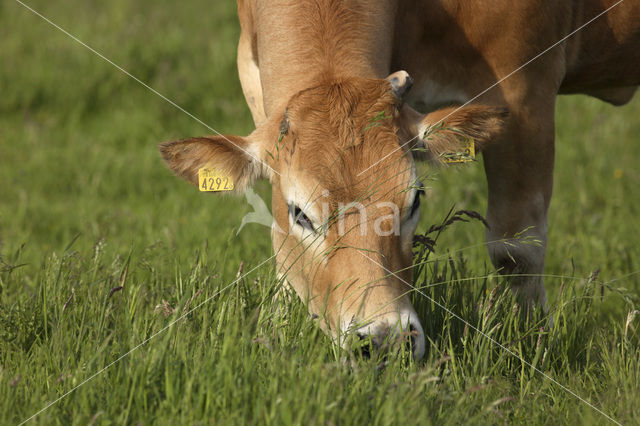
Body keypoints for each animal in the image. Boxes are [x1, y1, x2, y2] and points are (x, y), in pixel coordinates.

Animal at [158, 0, 636, 360]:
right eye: (300, 213)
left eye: (414, 201)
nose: (384, 339)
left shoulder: (525, 90)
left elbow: (517, 248)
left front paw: (534, 344)